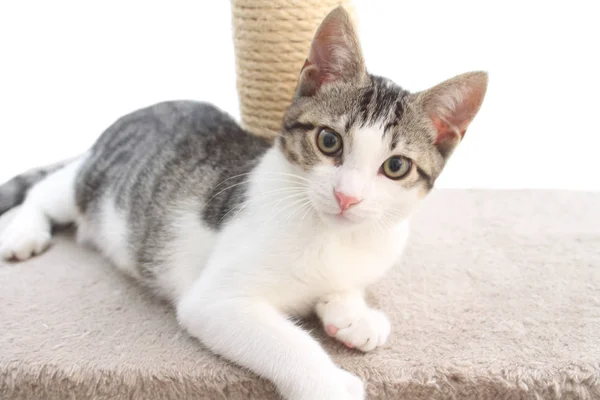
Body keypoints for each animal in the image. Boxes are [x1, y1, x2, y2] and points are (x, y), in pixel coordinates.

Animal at [0, 6, 488, 400]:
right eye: (329, 141)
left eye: (396, 167)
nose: (347, 196)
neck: (331, 235)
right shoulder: (216, 301)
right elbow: (284, 340)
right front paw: (329, 383)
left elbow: (346, 285)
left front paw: (352, 313)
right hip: (91, 181)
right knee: (48, 190)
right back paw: (23, 231)